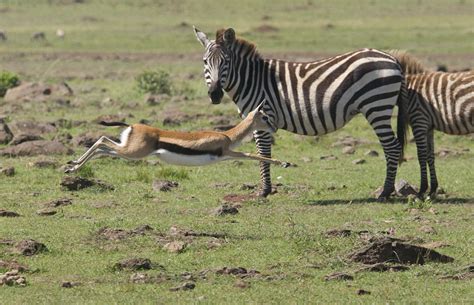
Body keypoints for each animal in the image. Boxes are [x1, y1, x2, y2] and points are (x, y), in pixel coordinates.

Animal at [194, 27, 410, 201]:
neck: (252, 80)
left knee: (391, 147)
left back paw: (385, 192)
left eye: (226, 62)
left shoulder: (263, 117)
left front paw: (264, 191)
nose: (214, 94)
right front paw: (266, 189)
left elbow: (263, 153)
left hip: (377, 106)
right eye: (205, 62)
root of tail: (392, 59)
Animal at [390, 50, 472, 196]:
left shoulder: (419, 121)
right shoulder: (428, 127)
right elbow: (430, 156)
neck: (409, 88)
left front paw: (422, 189)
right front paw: (433, 188)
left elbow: (421, 156)